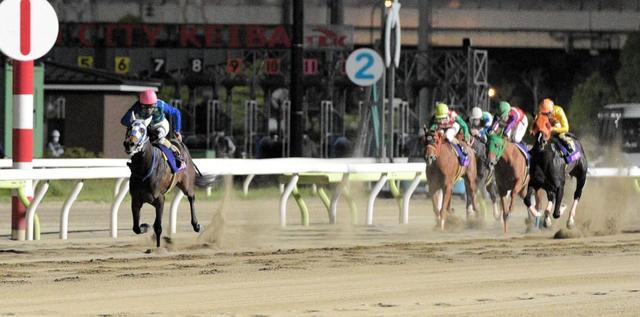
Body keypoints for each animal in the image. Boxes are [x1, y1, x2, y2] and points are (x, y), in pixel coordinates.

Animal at [122, 114, 218, 247]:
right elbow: (136, 228)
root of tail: (180, 143)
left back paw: (197, 225)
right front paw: (145, 226)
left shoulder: (160, 199)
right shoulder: (136, 200)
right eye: (129, 128)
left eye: (142, 130)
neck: (143, 170)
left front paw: (158, 247)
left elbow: (158, 227)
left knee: (191, 197)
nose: (129, 143)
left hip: (186, 183)